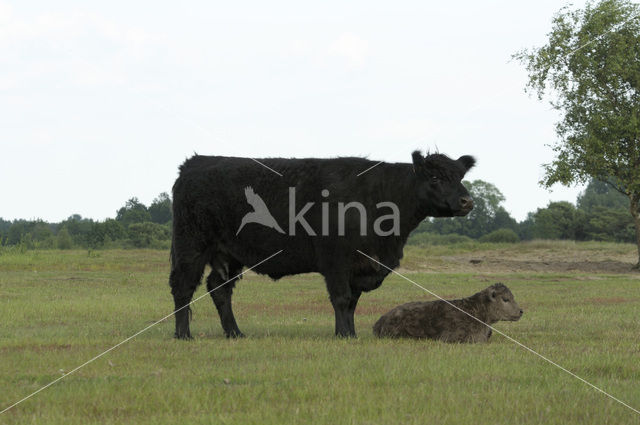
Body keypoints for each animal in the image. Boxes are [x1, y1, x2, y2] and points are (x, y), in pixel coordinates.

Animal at [168, 149, 472, 338]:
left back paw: (235, 333)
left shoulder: (360, 264)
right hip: (191, 244)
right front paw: (344, 335)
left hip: (228, 253)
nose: (467, 201)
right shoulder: (335, 258)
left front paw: (350, 332)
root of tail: (195, 162)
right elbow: (342, 298)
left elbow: (352, 302)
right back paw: (183, 334)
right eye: (435, 177)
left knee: (219, 289)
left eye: (460, 177)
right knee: (183, 286)